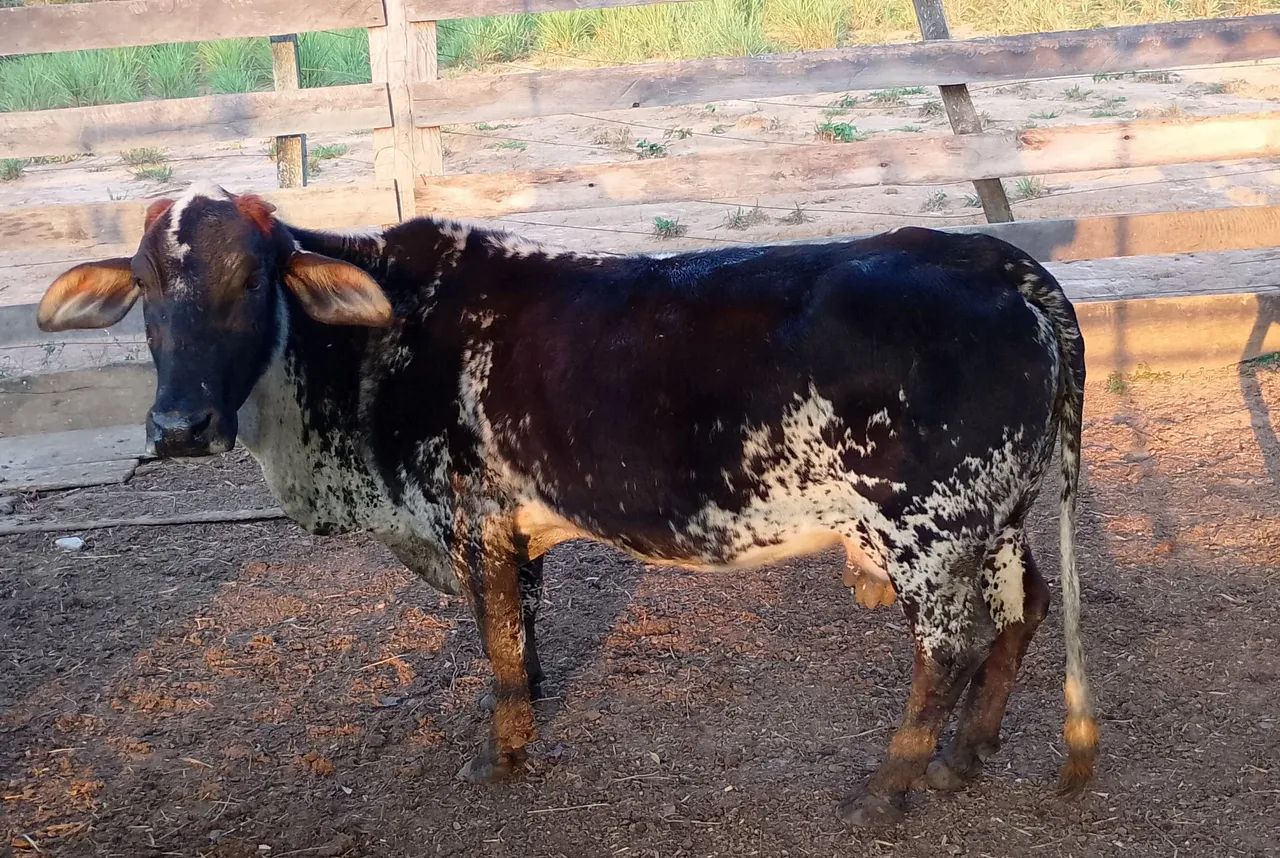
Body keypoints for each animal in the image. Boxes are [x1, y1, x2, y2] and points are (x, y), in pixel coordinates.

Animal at [36, 182, 1097, 825]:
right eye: (144, 285)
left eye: (250, 278)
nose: (179, 425)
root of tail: (995, 262)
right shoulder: (516, 533)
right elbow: (524, 642)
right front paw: (526, 717)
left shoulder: (472, 519)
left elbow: (499, 645)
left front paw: (500, 755)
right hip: (993, 522)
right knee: (1027, 611)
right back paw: (967, 755)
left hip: (928, 528)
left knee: (950, 647)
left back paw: (891, 782)